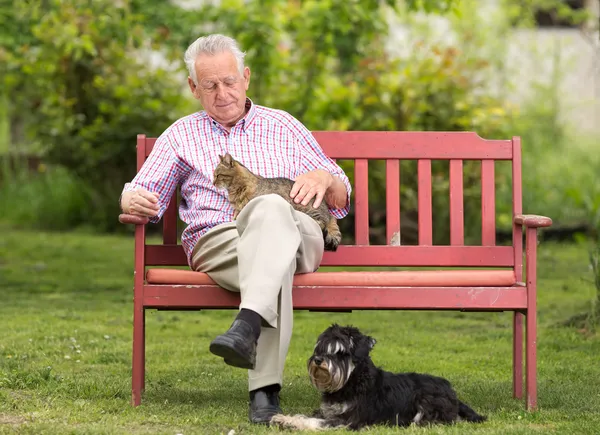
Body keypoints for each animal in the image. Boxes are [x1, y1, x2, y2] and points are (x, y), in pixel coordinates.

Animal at [272, 324, 488, 432]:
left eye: (341, 352)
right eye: (320, 347)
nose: (317, 360)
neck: (352, 382)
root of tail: (453, 393)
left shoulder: (349, 420)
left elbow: (315, 422)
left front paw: (292, 423)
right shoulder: (328, 412)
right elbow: (307, 415)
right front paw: (285, 418)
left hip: (426, 400)